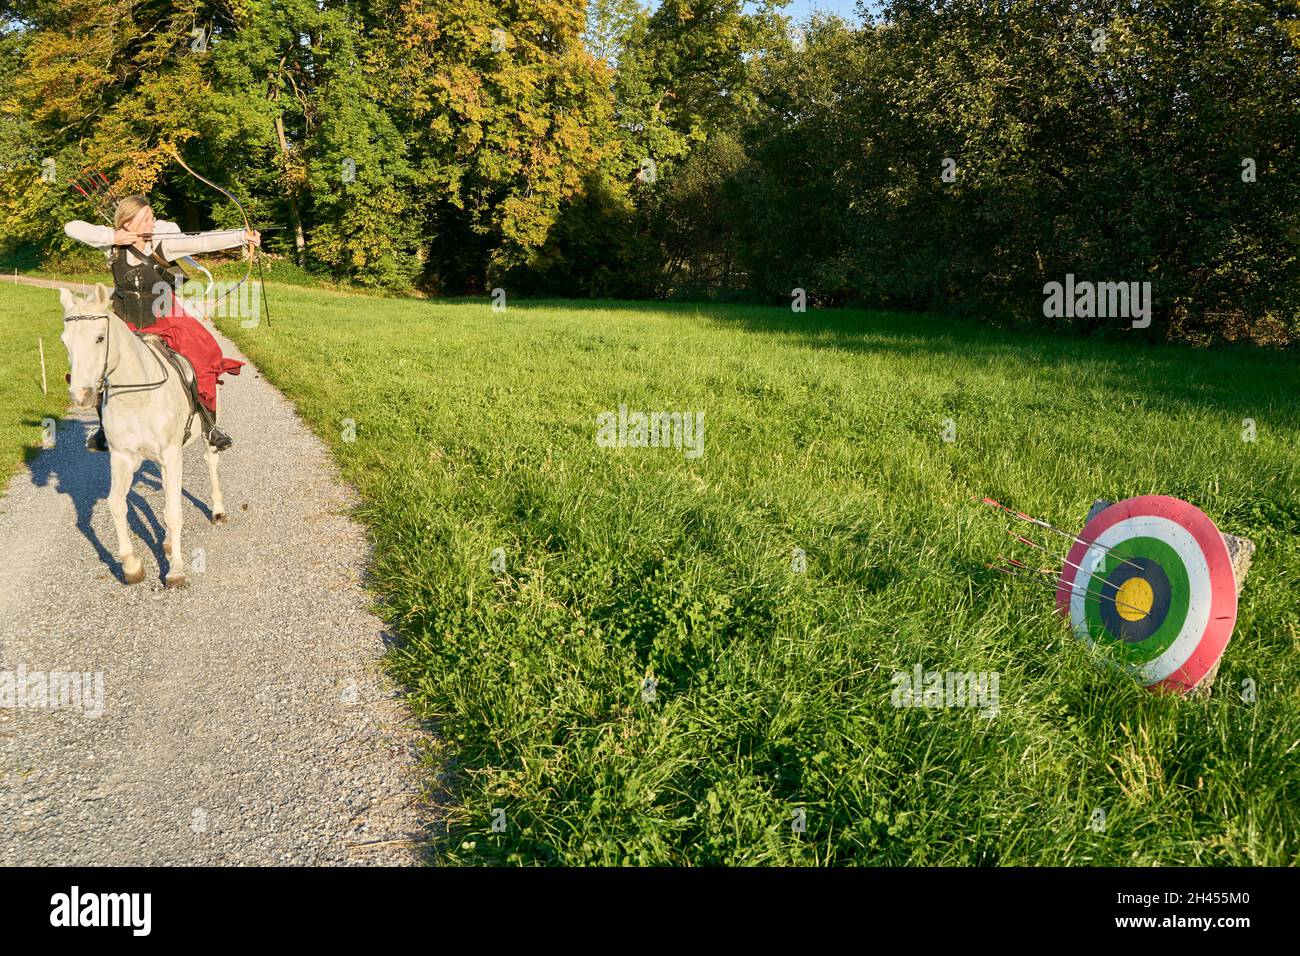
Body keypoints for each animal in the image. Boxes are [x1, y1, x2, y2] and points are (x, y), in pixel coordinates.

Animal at [59, 283, 226, 587]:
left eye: (100, 338)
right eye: (65, 342)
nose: (81, 396)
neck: (137, 396)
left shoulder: (171, 454)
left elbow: (173, 512)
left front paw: (176, 570)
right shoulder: (122, 457)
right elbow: (116, 504)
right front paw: (131, 565)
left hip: (207, 431)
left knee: (211, 462)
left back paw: (218, 510)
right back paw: (169, 543)